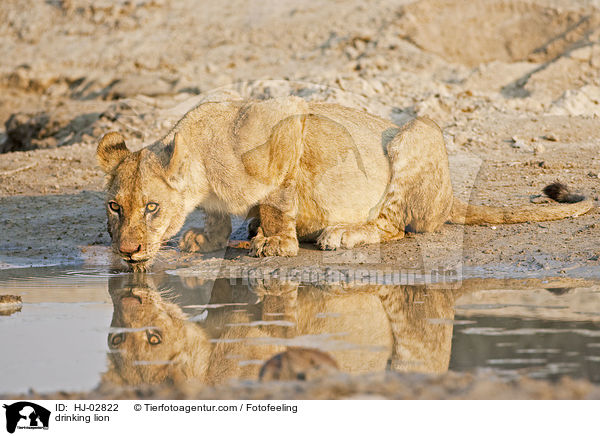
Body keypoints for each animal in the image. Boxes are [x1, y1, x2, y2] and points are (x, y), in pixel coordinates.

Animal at [97, 97, 592, 270]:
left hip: (418, 133)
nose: (127, 251)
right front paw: (212, 237)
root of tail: (452, 196)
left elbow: (278, 203)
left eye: (151, 207)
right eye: (115, 207)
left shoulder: (288, 127)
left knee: (394, 227)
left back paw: (340, 234)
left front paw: (276, 243)